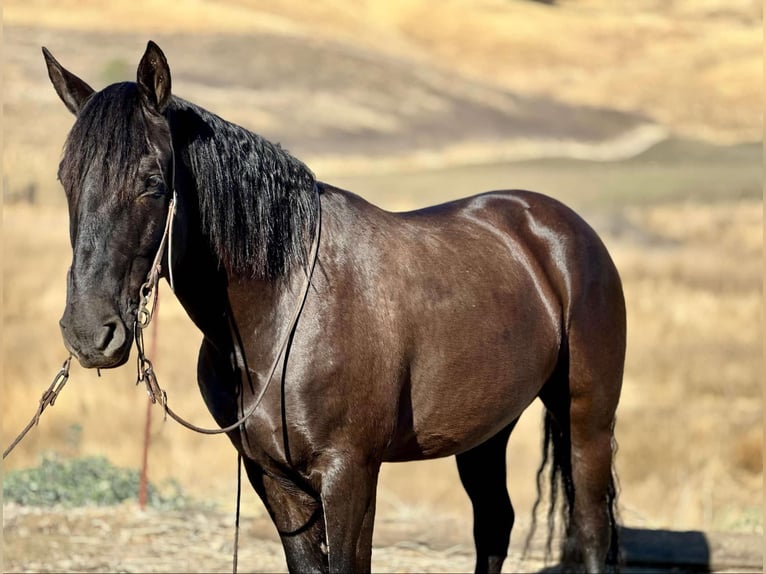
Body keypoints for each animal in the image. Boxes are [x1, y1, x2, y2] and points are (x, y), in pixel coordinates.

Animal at [45, 41, 628, 574]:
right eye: (65, 178)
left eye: (151, 182)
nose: (89, 333)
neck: (282, 314)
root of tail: (559, 229)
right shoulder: (273, 478)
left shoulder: (350, 473)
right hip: (486, 430)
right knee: (494, 524)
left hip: (587, 423)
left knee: (591, 530)